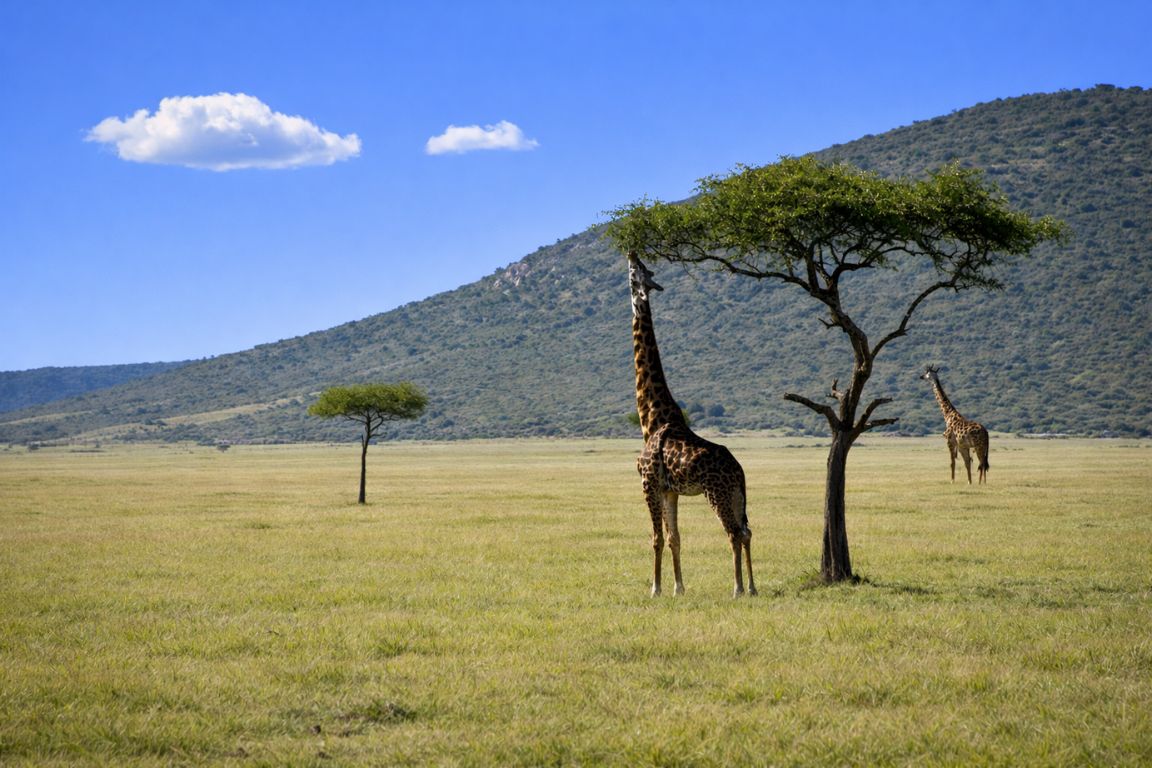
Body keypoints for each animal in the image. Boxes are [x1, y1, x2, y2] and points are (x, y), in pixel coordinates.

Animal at [628, 252, 756, 597]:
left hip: (717, 493)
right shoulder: (670, 490)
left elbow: (656, 538)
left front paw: (655, 589)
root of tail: (739, 470)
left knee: (733, 533)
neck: (652, 417)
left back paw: (737, 589)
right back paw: (753, 587)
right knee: (747, 531)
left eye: (637, 272)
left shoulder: (648, 482)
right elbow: (675, 538)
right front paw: (678, 588)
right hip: (736, 494)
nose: (631, 252)